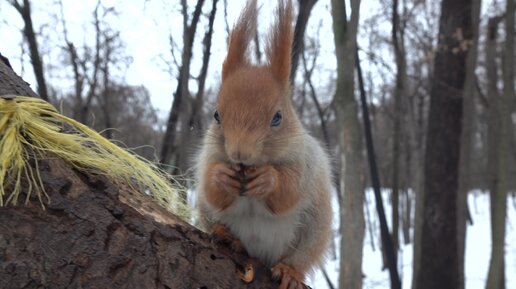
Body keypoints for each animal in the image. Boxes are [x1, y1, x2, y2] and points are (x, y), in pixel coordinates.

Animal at [196, 0, 332, 286]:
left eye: (278, 117)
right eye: (216, 115)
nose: (240, 153)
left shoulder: (305, 161)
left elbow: (288, 192)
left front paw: (268, 179)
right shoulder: (208, 156)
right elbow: (212, 189)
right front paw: (221, 177)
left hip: (315, 228)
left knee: (300, 257)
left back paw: (290, 272)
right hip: (204, 210)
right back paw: (227, 236)